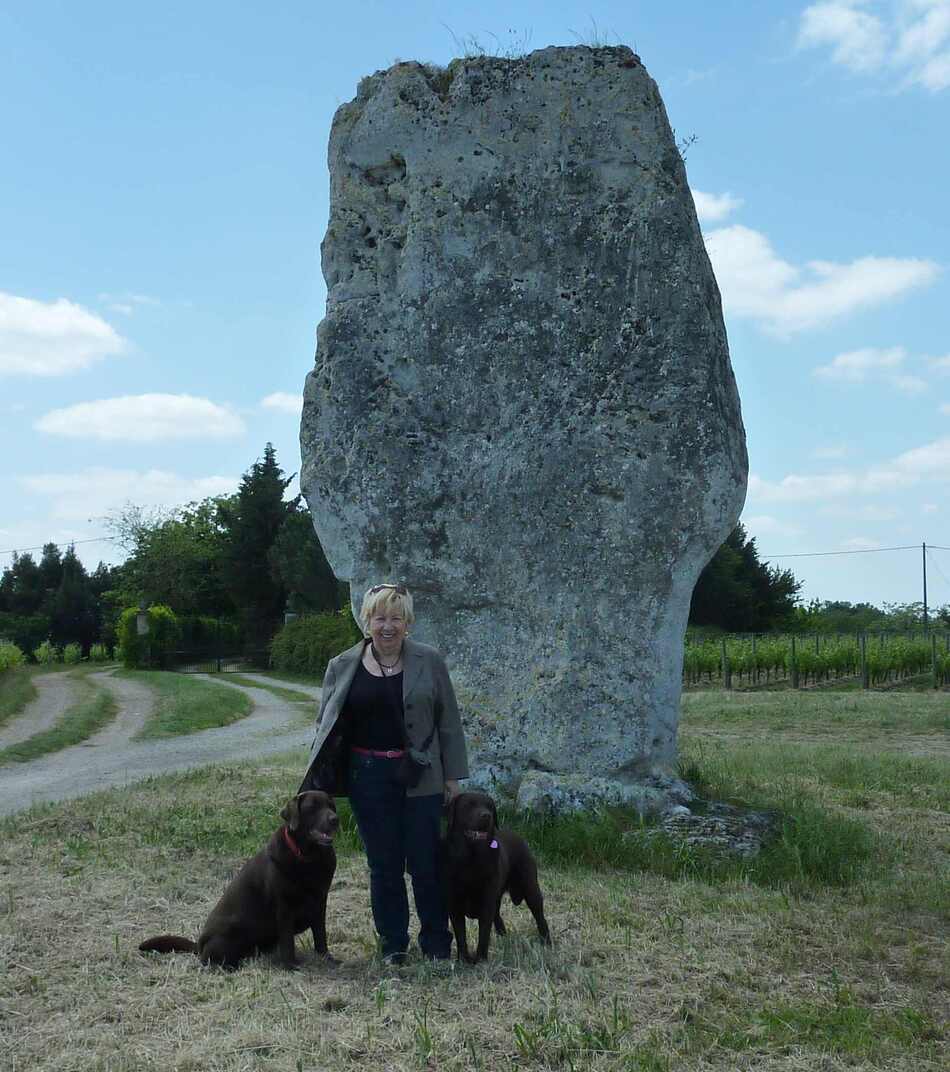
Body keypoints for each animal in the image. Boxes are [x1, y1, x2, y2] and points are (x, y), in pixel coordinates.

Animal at [137, 788, 338, 973]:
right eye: (312, 807)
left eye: (331, 805)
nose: (335, 819)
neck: (309, 858)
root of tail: (199, 944)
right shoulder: (284, 908)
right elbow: (288, 941)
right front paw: (290, 965)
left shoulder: (320, 901)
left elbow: (320, 934)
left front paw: (326, 957)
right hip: (232, 930)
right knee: (211, 960)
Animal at [443, 788, 553, 964]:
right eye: (469, 805)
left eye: (489, 807)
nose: (486, 815)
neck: (471, 860)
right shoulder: (455, 904)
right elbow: (460, 935)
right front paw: (463, 959)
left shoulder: (486, 901)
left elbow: (483, 934)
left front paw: (480, 959)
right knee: (497, 914)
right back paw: (503, 935)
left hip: (530, 888)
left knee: (539, 916)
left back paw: (546, 941)